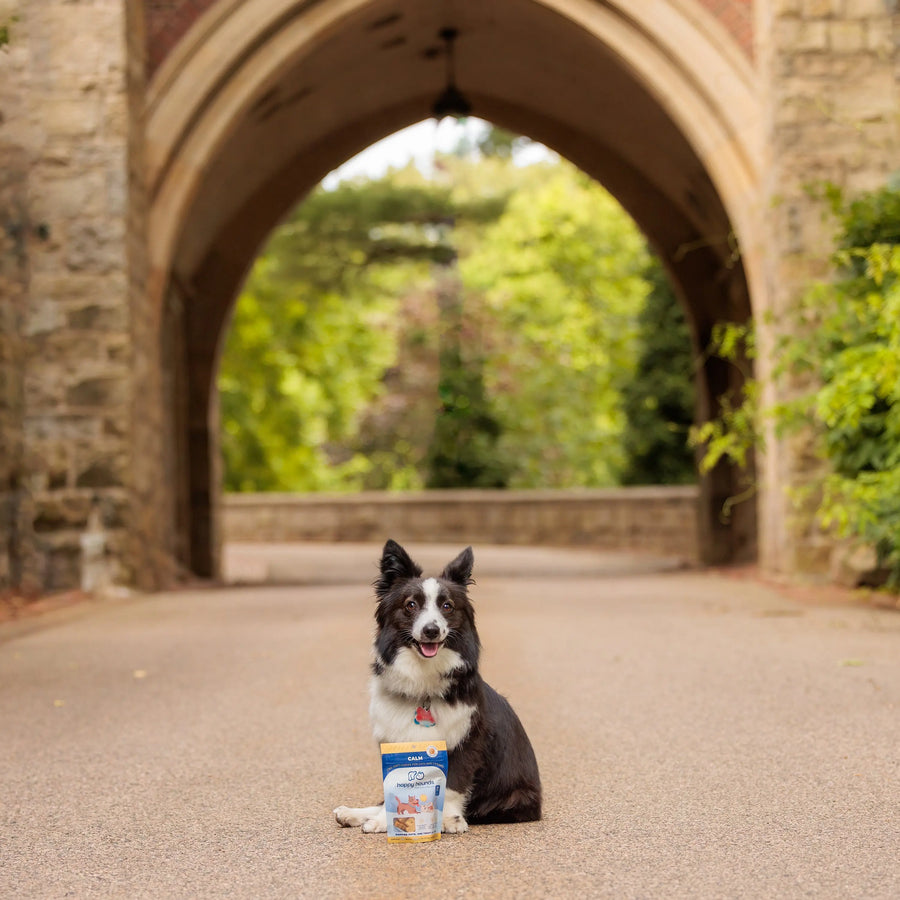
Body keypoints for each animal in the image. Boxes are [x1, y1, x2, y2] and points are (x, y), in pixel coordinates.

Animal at [332, 536, 536, 832]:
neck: (423, 683)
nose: (431, 630)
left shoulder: (467, 740)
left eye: (447, 606)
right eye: (411, 605)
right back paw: (354, 814)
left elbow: (453, 784)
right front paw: (384, 820)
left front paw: (449, 817)